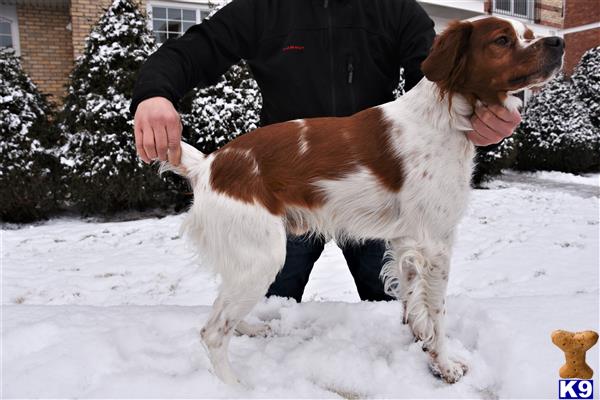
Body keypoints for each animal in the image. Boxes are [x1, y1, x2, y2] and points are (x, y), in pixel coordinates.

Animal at [159, 17, 564, 386]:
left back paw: (250, 328)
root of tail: (209, 164)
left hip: (248, 259)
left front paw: (422, 344)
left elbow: (413, 301)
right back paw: (234, 386)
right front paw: (445, 364)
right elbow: (437, 311)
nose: (559, 42)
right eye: (502, 40)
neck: (443, 119)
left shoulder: (407, 242)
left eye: (528, 34)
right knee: (212, 332)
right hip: (263, 256)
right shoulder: (435, 244)